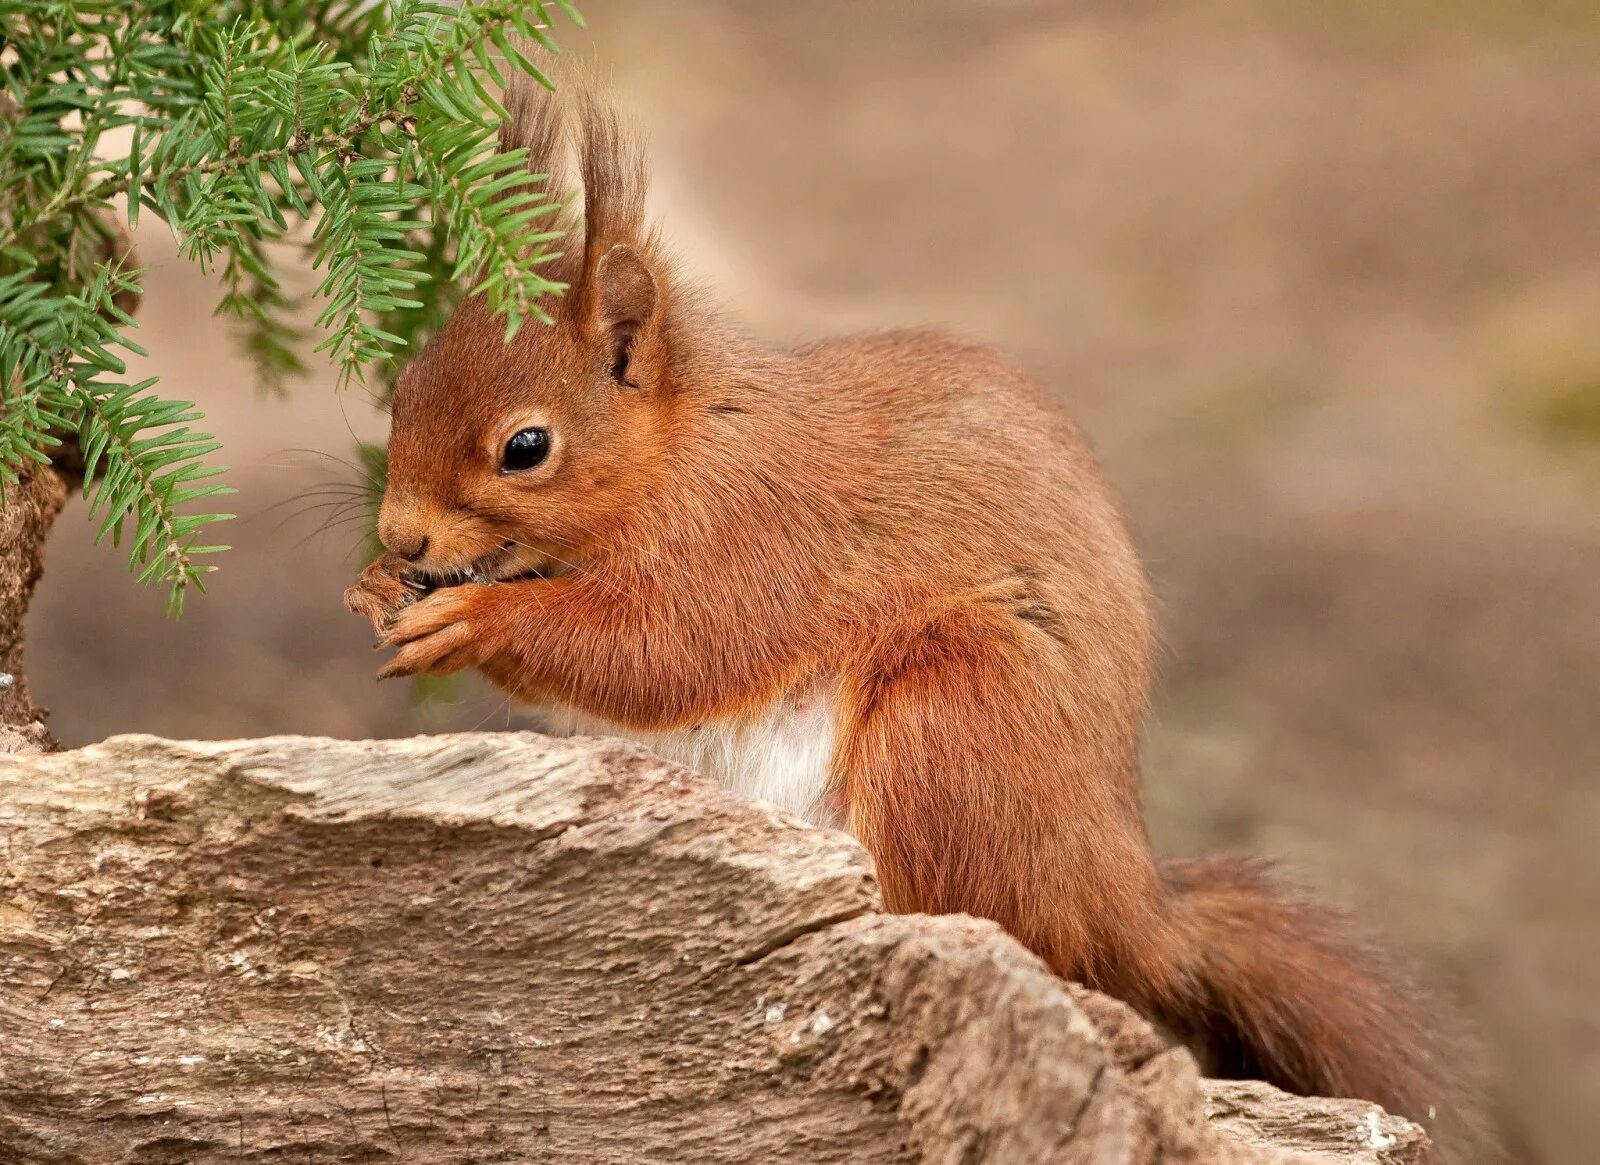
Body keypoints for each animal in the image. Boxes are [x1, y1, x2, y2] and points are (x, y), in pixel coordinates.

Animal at [347, 79, 1472, 1158]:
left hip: (956, 717)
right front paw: (371, 585)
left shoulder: (757, 533)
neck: (684, 444)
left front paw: (474, 621)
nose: (402, 533)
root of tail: (1125, 900)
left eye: (526, 447)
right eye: (404, 389)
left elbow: (664, 651)